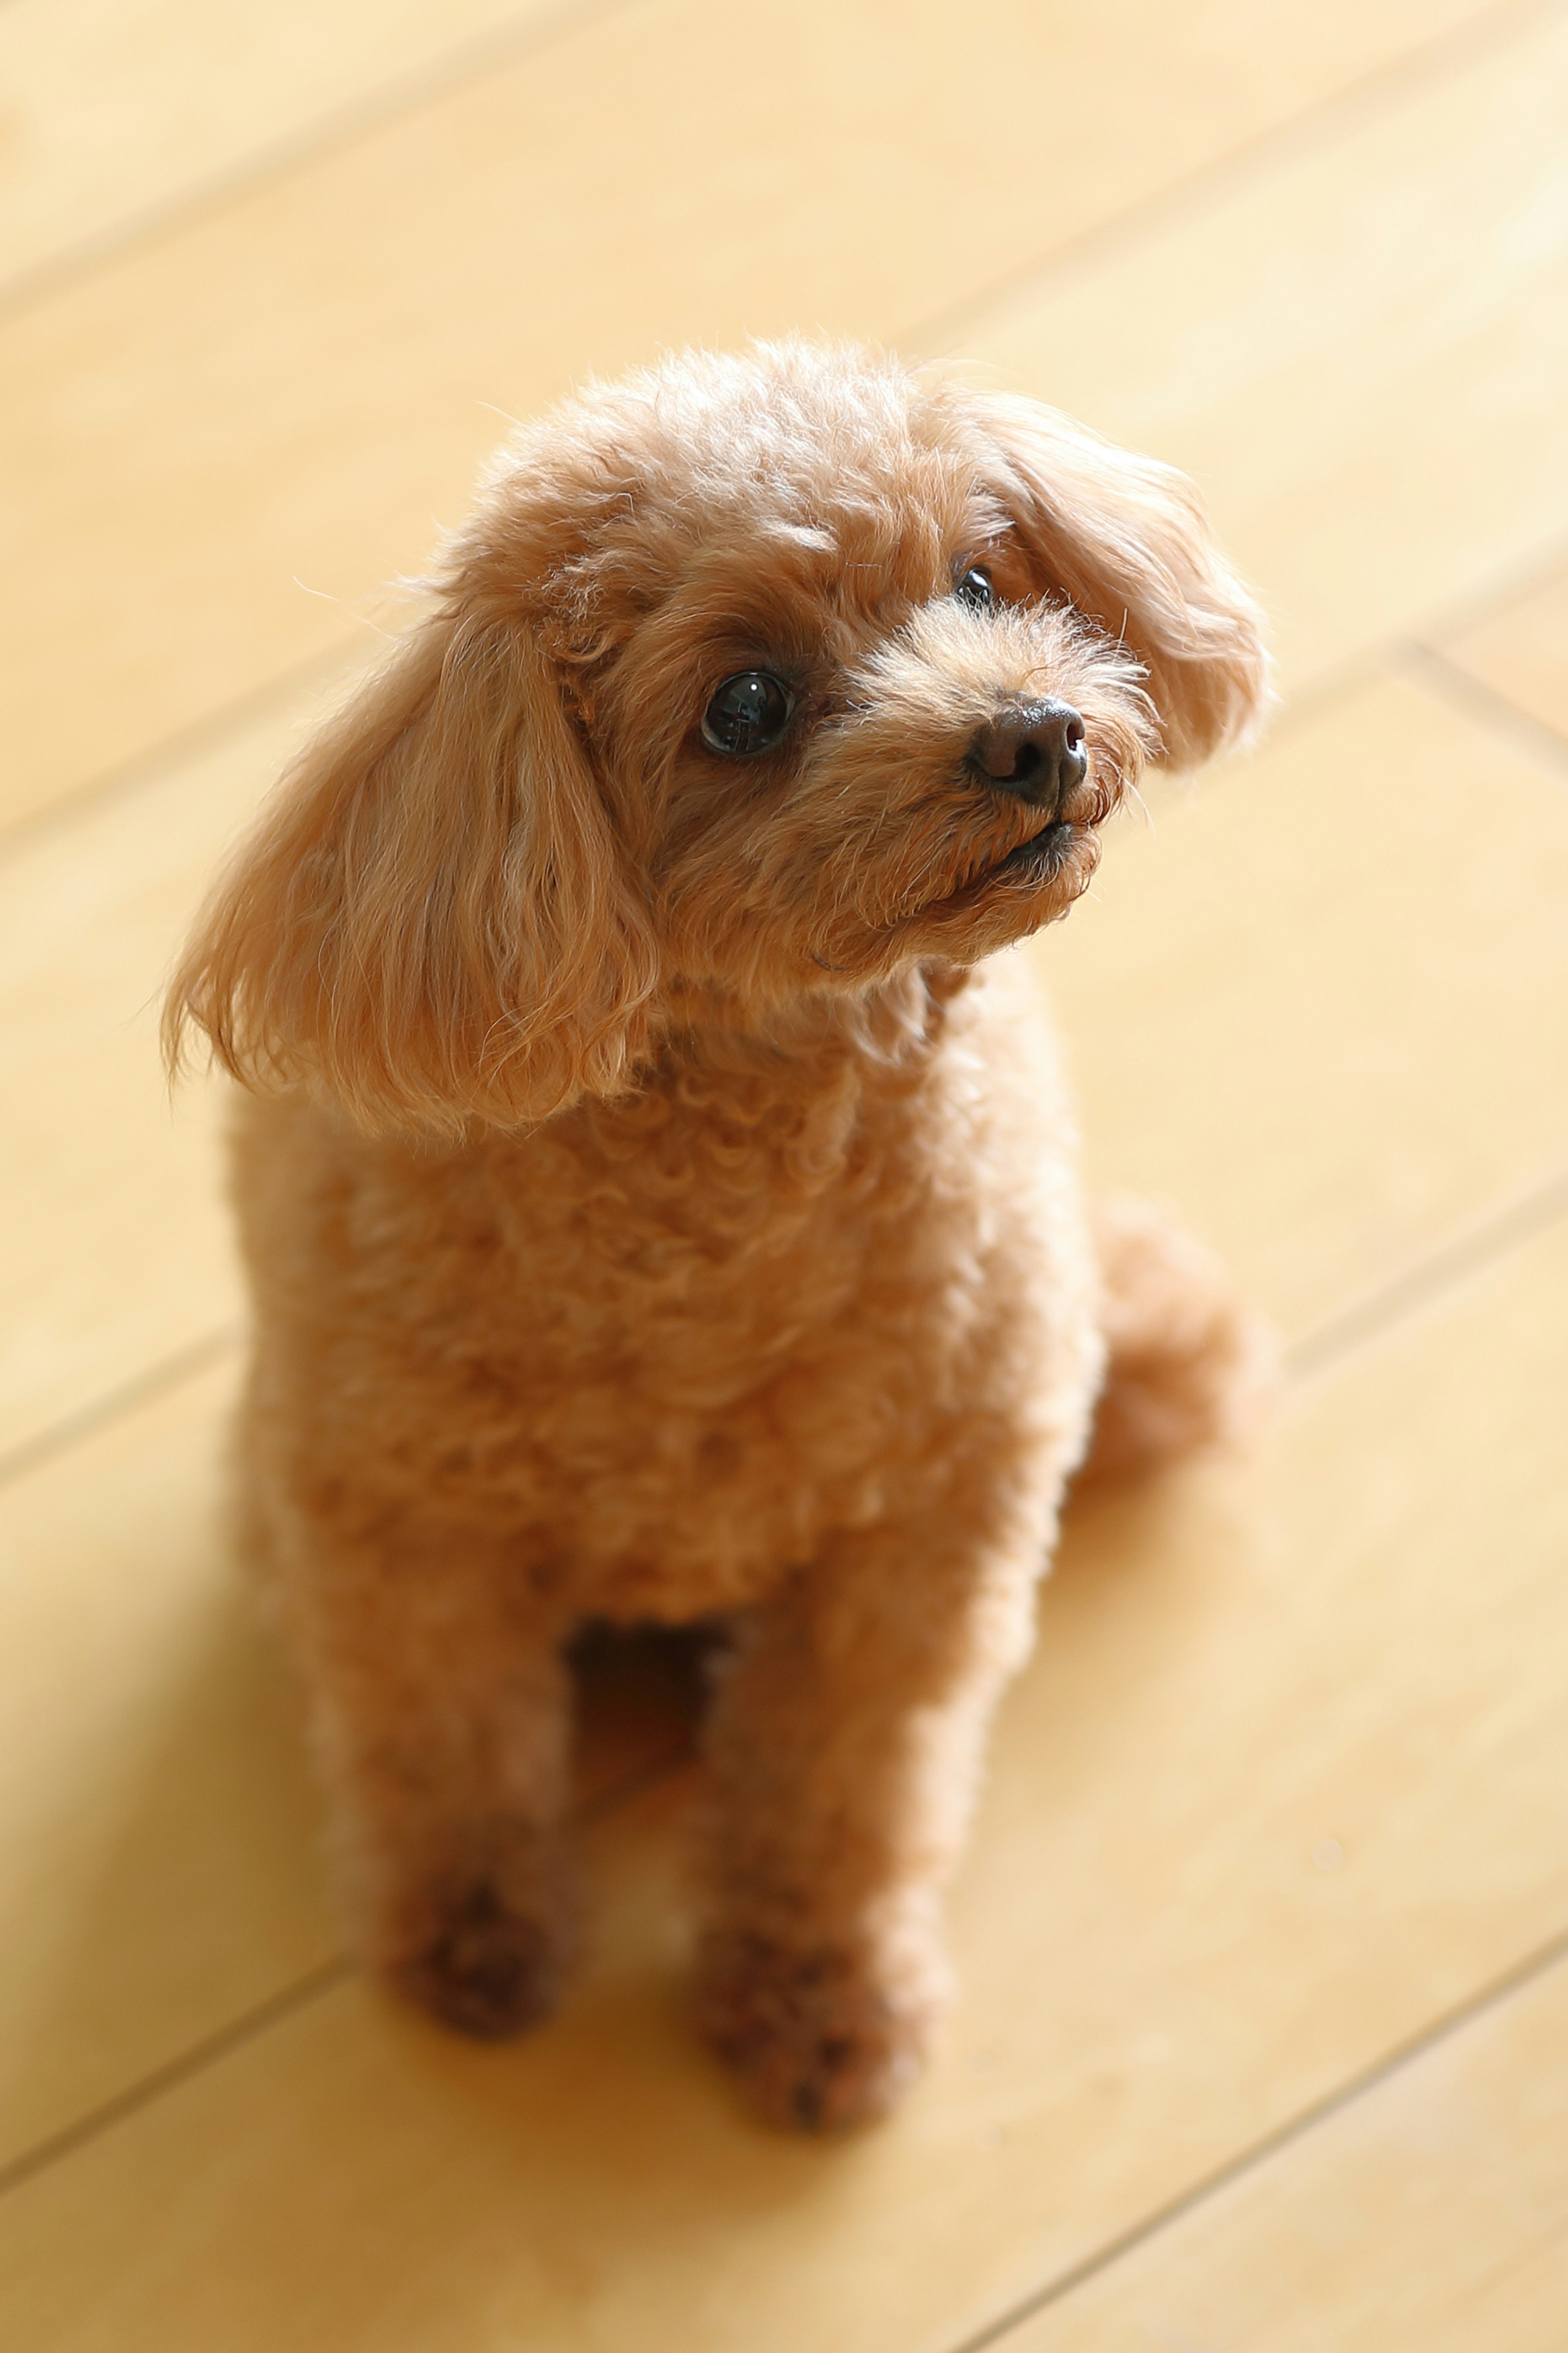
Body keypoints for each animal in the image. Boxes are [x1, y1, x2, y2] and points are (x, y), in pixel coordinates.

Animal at [169, 336, 1278, 2136]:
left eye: (982, 582)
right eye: (744, 708)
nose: (1033, 735)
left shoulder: (916, 1544)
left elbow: (842, 1788)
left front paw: (822, 2004)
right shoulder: (401, 1532)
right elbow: (444, 1744)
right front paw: (470, 1942)